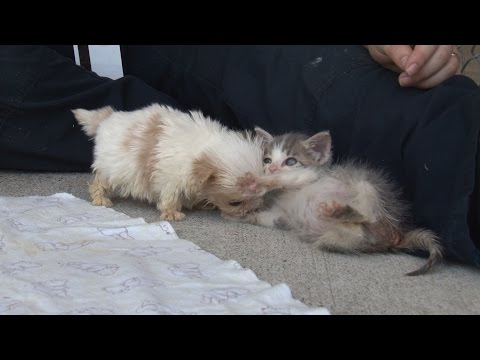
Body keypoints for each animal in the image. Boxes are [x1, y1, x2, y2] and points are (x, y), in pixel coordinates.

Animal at [231, 126, 444, 276]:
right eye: (267, 160)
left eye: (290, 161)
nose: (271, 168)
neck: (287, 193)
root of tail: (398, 234)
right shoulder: (282, 216)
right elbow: (266, 218)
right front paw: (242, 215)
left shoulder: (307, 176)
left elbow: (286, 178)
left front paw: (258, 180)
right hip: (335, 239)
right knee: (358, 233)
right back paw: (340, 214)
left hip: (367, 185)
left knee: (370, 214)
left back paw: (341, 211)